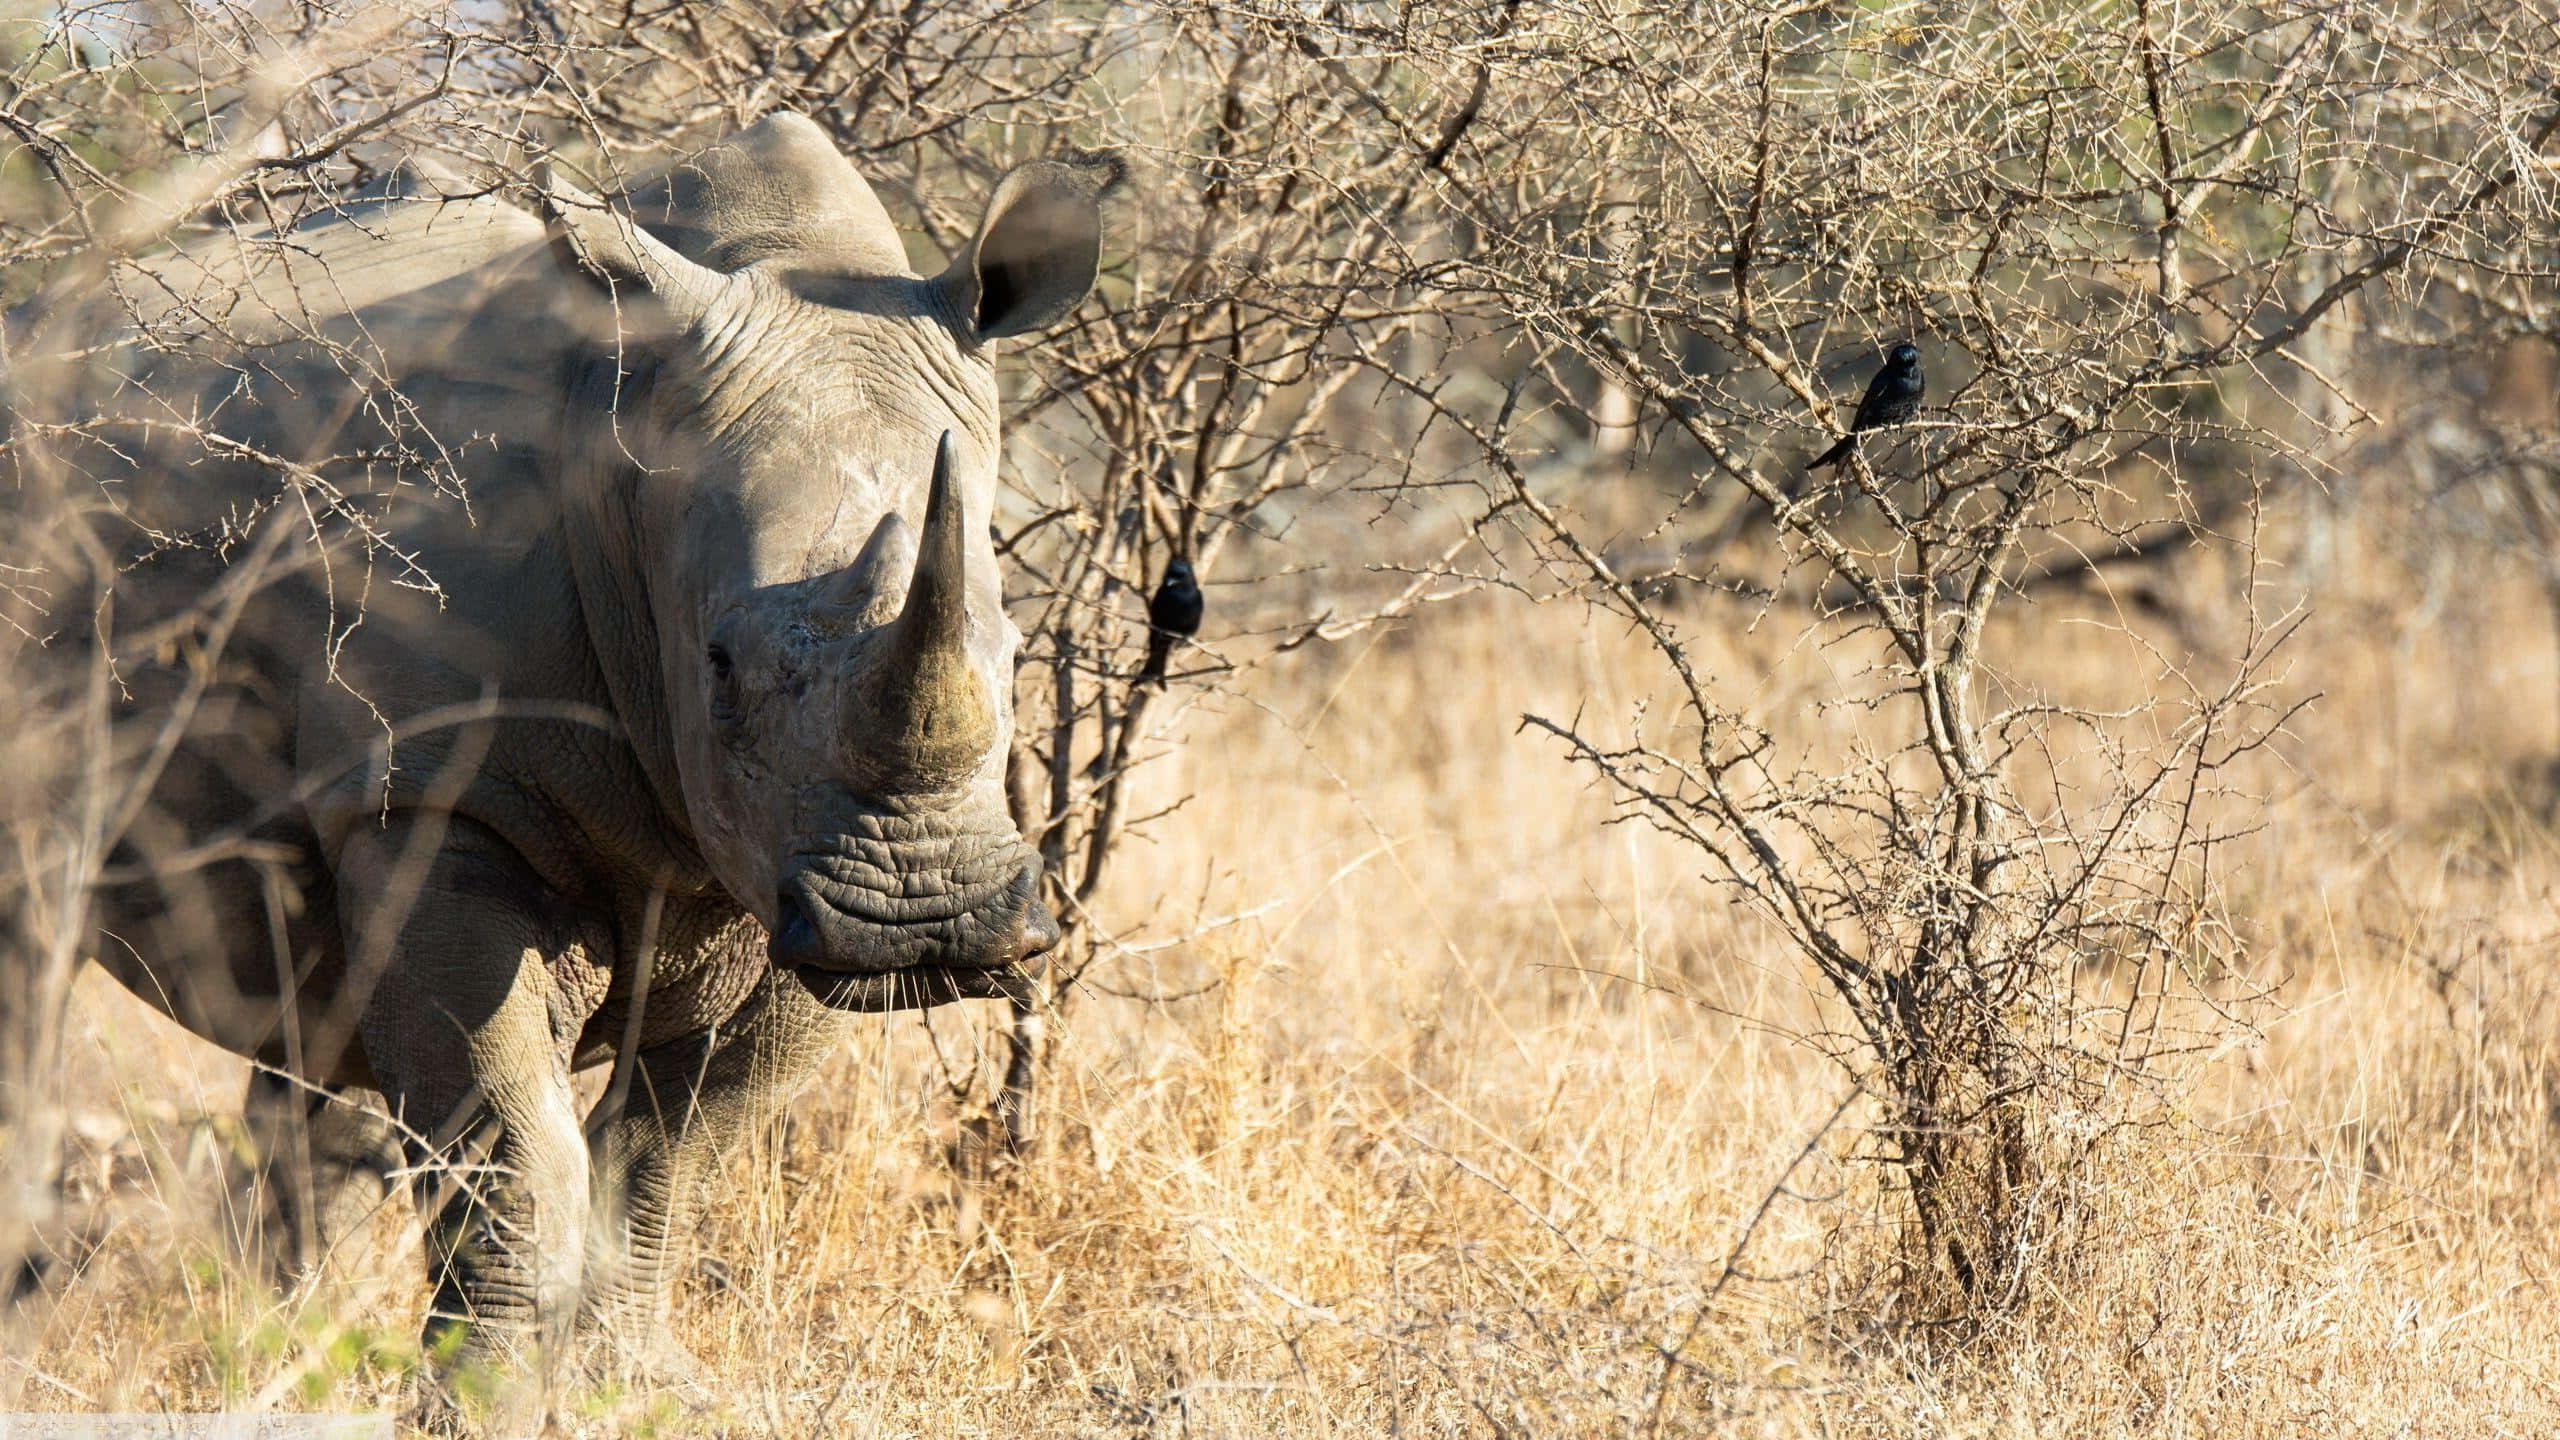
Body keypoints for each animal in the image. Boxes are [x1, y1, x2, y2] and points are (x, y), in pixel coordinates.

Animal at [0, 112, 1103, 1423]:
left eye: (1016, 648)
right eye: (719, 664)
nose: (927, 922)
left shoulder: (794, 876)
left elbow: (678, 1150)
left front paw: (642, 1390)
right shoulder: (440, 797)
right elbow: (514, 1143)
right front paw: (477, 1407)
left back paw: (275, 1349)